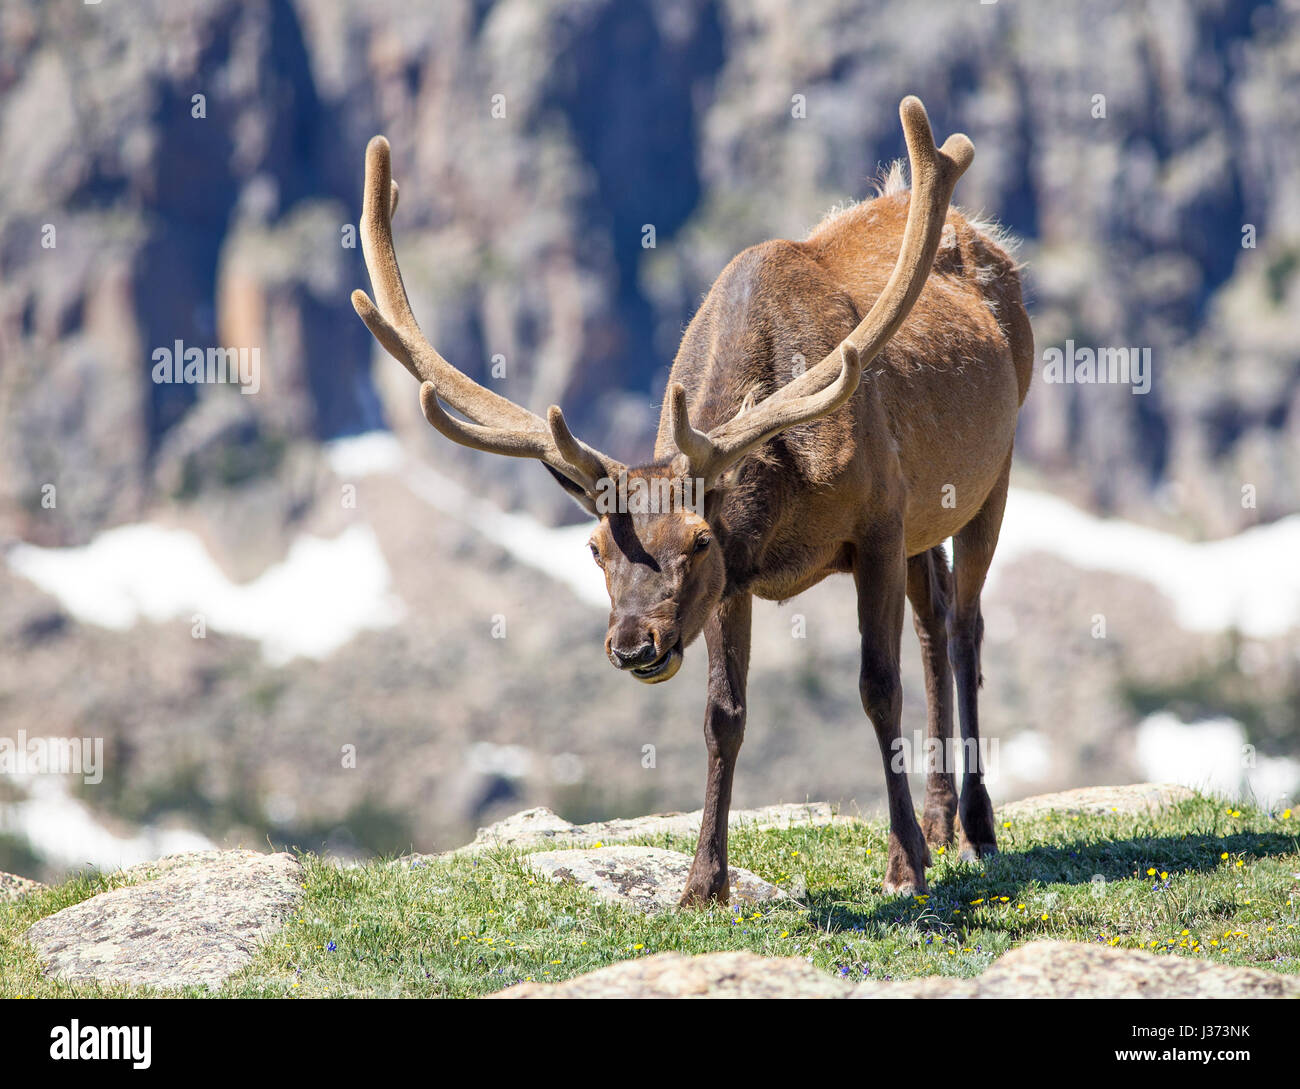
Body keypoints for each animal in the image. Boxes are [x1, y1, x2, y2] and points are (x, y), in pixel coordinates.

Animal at [352, 96, 1033, 906]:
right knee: (934, 624)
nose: (632, 644)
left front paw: (904, 865)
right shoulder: (737, 582)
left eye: (697, 538)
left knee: (964, 627)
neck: (780, 503)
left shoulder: (875, 521)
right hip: (926, 520)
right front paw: (702, 883)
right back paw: (938, 816)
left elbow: (877, 686)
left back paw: (976, 826)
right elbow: (722, 715)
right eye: (595, 548)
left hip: (994, 468)